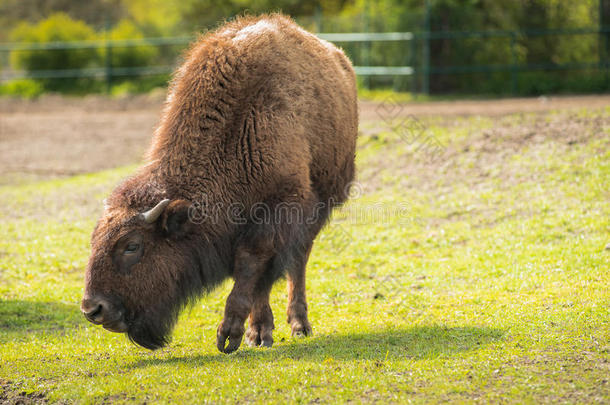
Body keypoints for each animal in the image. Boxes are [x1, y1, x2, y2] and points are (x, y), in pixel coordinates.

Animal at [80, 14, 356, 352]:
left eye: (132, 245)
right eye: (95, 240)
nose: (93, 308)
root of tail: (341, 59)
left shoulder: (279, 208)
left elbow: (252, 265)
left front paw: (229, 335)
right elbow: (258, 276)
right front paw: (256, 333)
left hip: (324, 202)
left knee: (299, 261)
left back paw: (299, 325)